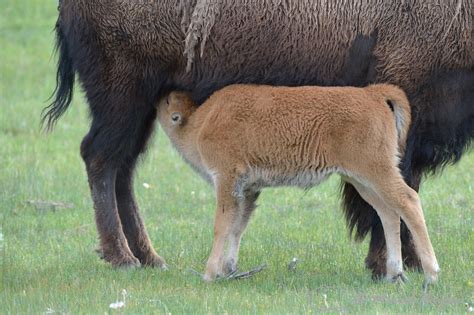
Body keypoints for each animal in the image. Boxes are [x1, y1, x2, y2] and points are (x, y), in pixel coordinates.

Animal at [157, 84, 438, 286]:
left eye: (169, 105)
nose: (163, 97)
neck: (200, 120)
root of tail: (373, 93)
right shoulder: (247, 190)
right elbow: (237, 227)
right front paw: (229, 269)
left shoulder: (227, 180)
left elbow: (222, 226)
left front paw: (208, 274)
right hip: (362, 181)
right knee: (388, 212)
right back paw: (394, 274)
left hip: (376, 172)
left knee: (408, 201)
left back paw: (431, 275)